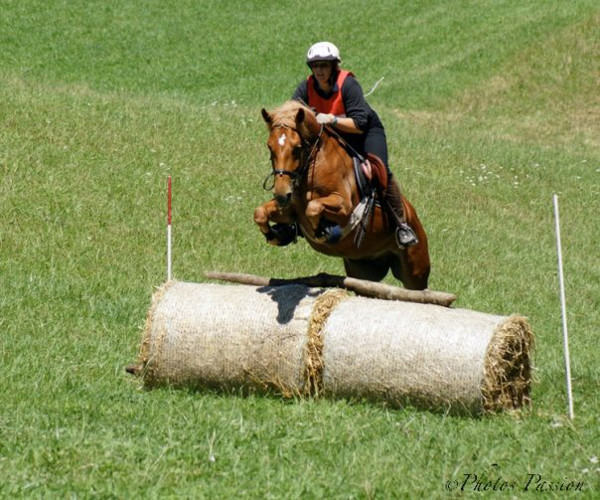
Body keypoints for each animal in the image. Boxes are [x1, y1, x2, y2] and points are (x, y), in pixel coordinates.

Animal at [253, 100, 432, 292]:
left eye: (297, 148)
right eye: (269, 146)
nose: (281, 194)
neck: (313, 165)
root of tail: (413, 216)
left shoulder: (345, 207)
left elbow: (314, 207)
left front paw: (323, 231)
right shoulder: (292, 210)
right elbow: (260, 213)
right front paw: (273, 235)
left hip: (415, 270)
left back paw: (405, 234)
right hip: (361, 269)